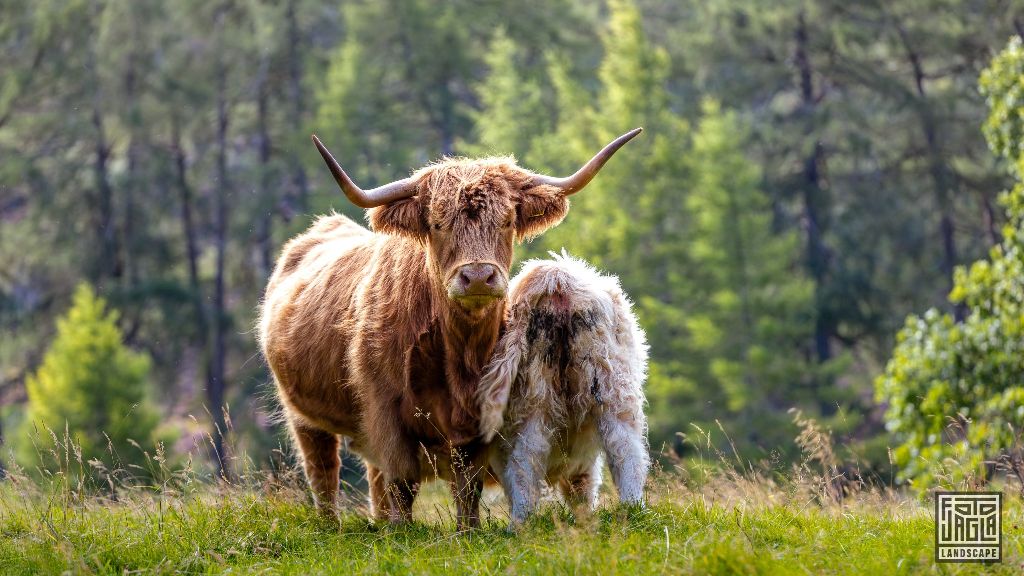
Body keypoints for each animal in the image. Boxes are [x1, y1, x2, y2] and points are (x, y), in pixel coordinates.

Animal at [477, 251, 647, 524]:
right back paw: (633, 509)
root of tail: (555, 277)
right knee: (625, 451)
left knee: (523, 463)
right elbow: (583, 484)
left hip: (530, 402)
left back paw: (519, 523)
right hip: (611, 388)